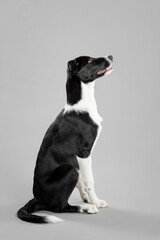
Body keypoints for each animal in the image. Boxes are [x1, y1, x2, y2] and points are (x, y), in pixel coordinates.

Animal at [16, 54, 113, 223]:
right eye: (89, 60)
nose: (110, 56)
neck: (81, 103)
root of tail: (38, 199)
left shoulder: (78, 158)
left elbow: (83, 181)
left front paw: (88, 198)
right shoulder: (84, 153)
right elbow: (90, 180)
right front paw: (96, 202)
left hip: (72, 167)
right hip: (69, 170)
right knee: (59, 207)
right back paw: (87, 208)